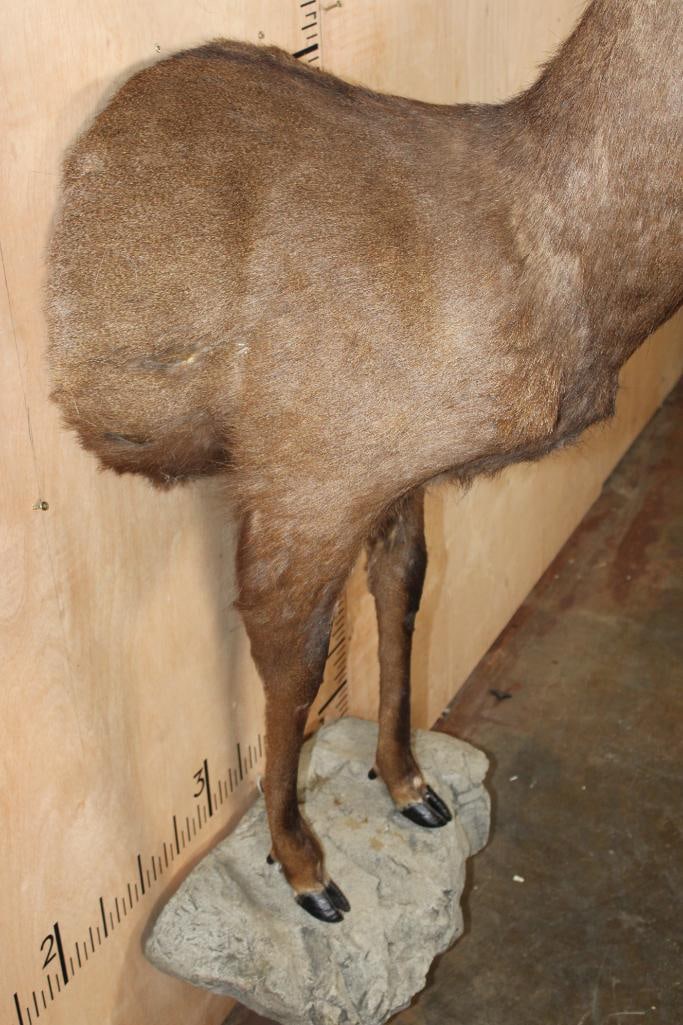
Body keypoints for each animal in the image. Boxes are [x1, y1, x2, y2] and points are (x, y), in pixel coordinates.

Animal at [46, 0, 682, 924]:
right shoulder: (307, 473)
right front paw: (304, 866)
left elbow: (402, 586)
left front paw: (409, 781)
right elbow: (296, 660)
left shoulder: (394, 469)